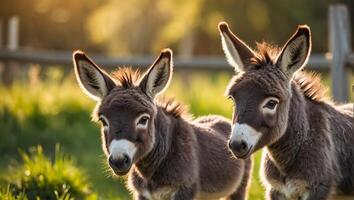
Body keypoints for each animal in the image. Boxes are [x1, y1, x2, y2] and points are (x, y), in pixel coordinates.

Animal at [72, 48, 252, 200]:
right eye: (103, 121)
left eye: (143, 119)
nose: (118, 161)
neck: (151, 170)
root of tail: (220, 118)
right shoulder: (142, 194)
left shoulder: (184, 191)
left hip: (239, 186)